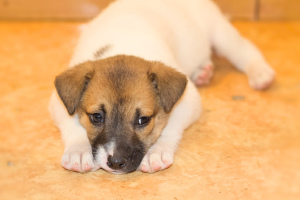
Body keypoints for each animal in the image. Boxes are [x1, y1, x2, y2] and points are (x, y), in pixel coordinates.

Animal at [48, 0, 274, 173]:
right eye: (96, 117)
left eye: (143, 120)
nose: (116, 163)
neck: (124, 45)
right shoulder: (59, 102)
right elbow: (72, 124)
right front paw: (79, 151)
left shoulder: (188, 101)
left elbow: (170, 127)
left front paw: (155, 152)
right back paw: (203, 72)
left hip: (219, 32)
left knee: (244, 50)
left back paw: (260, 73)